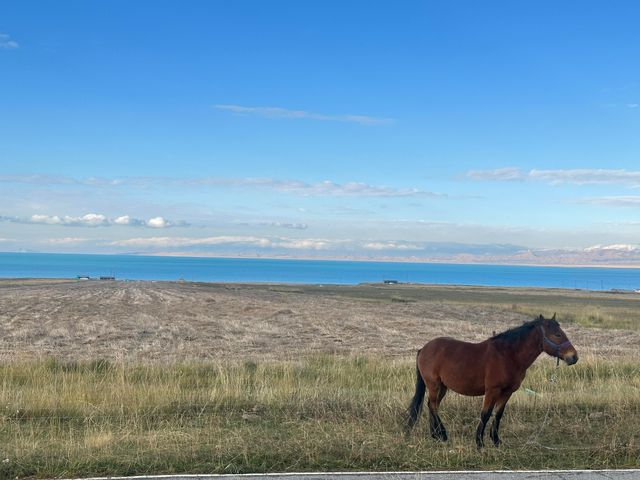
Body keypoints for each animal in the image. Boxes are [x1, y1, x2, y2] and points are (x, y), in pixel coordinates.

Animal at [404, 314, 580, 448]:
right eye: (557, 334)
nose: (574, 357)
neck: (508, 355)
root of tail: (424, 349)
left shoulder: (507, 392)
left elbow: (498, 415)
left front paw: (496, 441)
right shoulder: (492, 391)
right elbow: (485, 414)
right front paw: (479, 442)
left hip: (442, 387)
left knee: (431, 405)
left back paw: (435, 435)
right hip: (434, 385)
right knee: (433, 406)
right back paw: (443, 434)